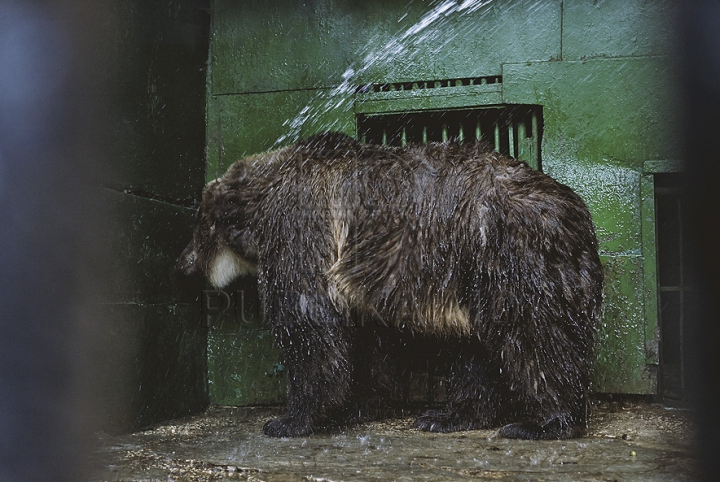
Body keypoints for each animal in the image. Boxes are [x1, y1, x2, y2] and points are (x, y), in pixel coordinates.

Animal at [177, 132, 604, 440]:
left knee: (535, 338)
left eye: (201, 224)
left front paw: (289, 420)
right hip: (475, 275)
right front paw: (357, 405)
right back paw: (447, 415)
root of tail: (578, 215)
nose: (183, 263)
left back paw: (543, 423)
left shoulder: (301, 230)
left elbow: (310, 328)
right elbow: (367, 342)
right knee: (478, 347)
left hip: (507, 256)